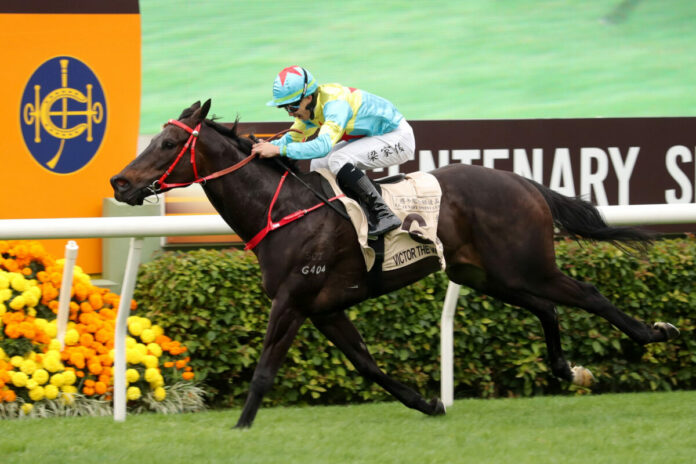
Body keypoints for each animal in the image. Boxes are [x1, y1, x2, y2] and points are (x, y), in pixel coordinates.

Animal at [111, 100, 679, 428]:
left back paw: (655, 332)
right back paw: (568, 369)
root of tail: (521, 180)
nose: (119, 181)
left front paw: (240, 429)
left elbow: (265, 369)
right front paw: (429, 403)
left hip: (526, 265)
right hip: (487, 274)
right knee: (548, 309)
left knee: (589, 295)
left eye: (167, 142)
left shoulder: (293, 299)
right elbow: (367, 364)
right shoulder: (324, 308)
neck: (285, 211)